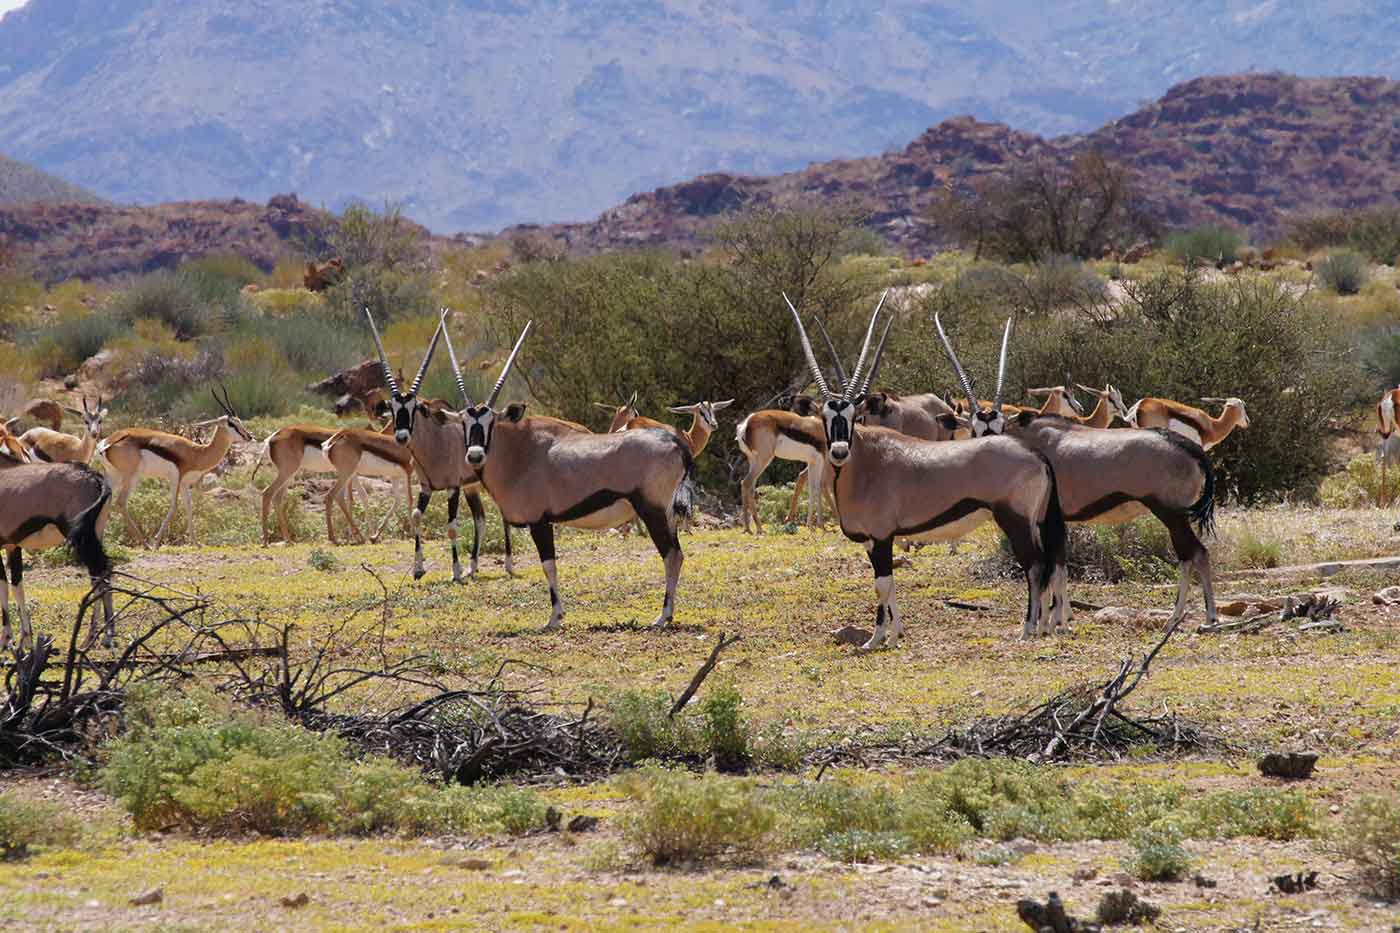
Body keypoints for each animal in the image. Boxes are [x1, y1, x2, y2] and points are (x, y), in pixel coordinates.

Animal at [1, 462, 114, 650]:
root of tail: (93, 476)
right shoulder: (12, 546)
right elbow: (16, 586)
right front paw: (25, 639)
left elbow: (5, 587)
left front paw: (7, 639)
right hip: (96, 535)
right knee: (103, 572)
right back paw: (104, 635)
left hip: (82, 540)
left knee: (99, 573)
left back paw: (93, 638)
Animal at [97, 383, 253, 546]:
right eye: (231, 423)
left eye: (239, 421)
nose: (249, 436)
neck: (197, 453)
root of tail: (109, 441)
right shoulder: (176, 479)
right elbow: (174, 507)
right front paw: (156, 543)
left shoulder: (184, 484)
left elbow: (189, 507)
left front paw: (196, 543)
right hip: (131, 477)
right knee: (121, 502)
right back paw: (146, 545)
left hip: (114, 476)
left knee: (105, 500)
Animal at [442, 319, 694, 633]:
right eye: (465, 422)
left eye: (491, 422)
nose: (475, 455)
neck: (521, 451)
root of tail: (675, 441)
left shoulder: (539, 522)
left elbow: (548, 564)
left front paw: (554, 617)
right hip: (666, 514)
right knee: (678, 553)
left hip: (652, 510)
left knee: (671, 554)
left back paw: (662, 616)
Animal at [789, 294, 1058, 644]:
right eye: (824, 417)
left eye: (854, 416)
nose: (838, 451)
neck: (864, 463)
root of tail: (1035, 455)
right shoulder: (871, 541)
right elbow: (886, 587)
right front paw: (893, 634)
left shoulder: (882, 537)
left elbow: (883, 584)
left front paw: (878, 638)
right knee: (1046, 563)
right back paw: (1043, 625)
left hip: (1015, 520)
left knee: (1035, 565)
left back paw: (1027, 629)